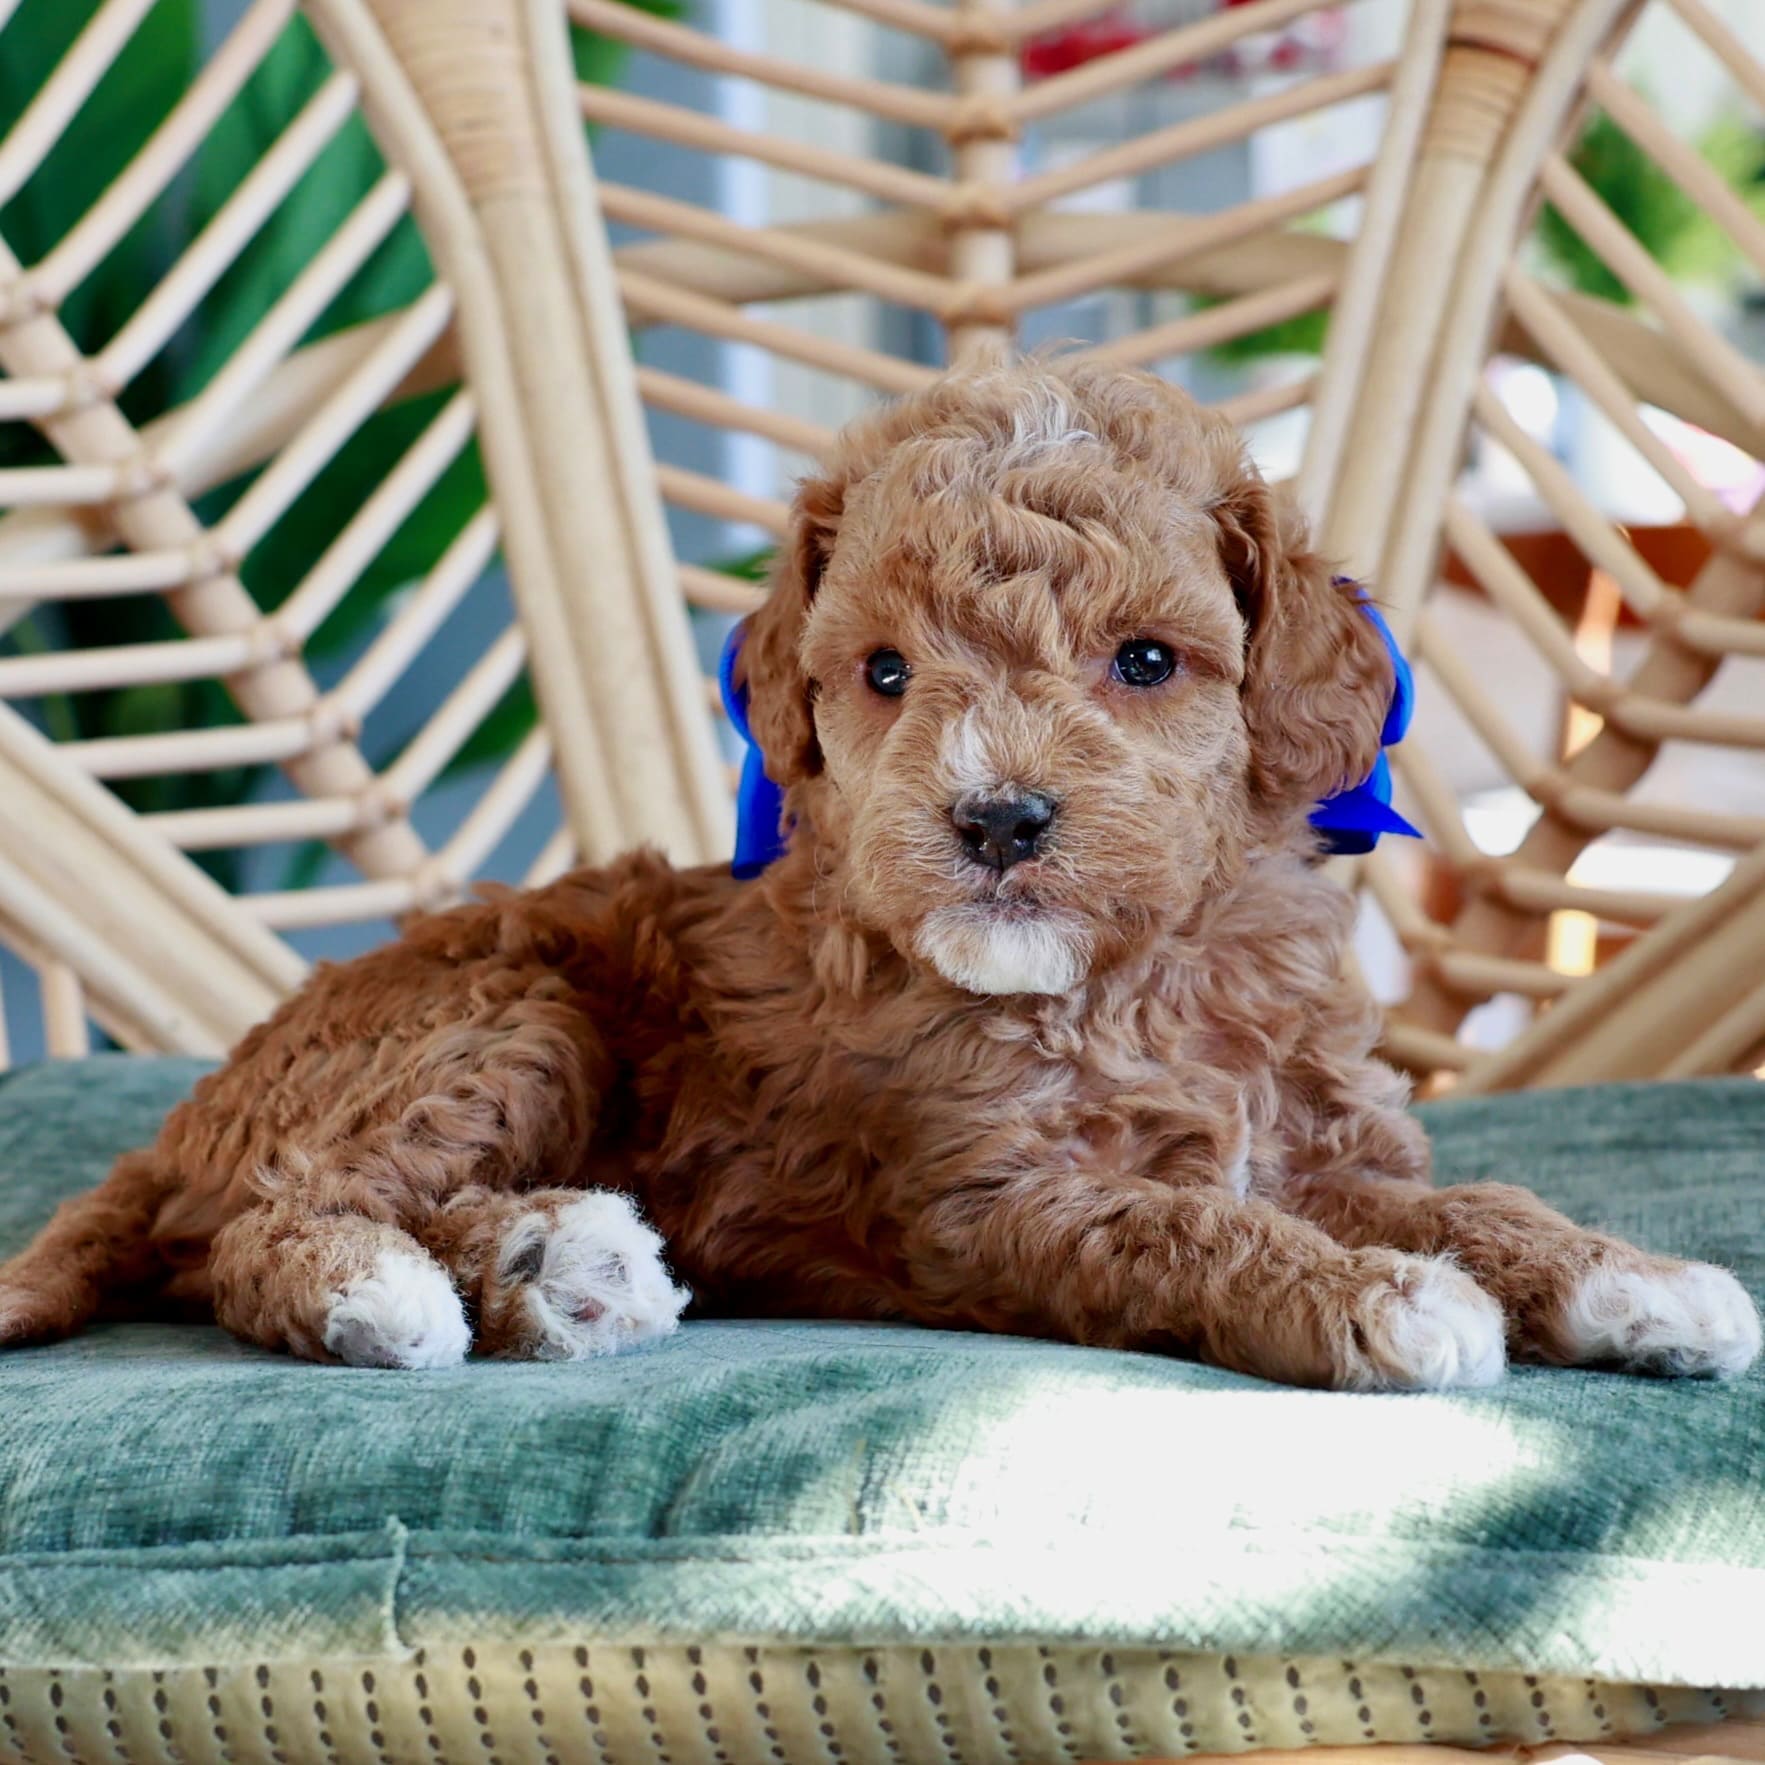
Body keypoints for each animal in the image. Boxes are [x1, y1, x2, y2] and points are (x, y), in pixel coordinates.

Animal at [1, 358, 1758, 1388]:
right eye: (887, 675)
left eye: (1145, 661)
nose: (996, 820)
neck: (1138, 978)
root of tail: (183, 1126)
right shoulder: (988, 1198)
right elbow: (1187, 1226)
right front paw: (1383, 1300)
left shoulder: (1323, 1142)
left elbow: (1470, 1197)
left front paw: (1632, 1281)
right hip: (498, 1018)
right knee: (268, 1222)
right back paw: (416, 1281)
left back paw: (561, 1268)